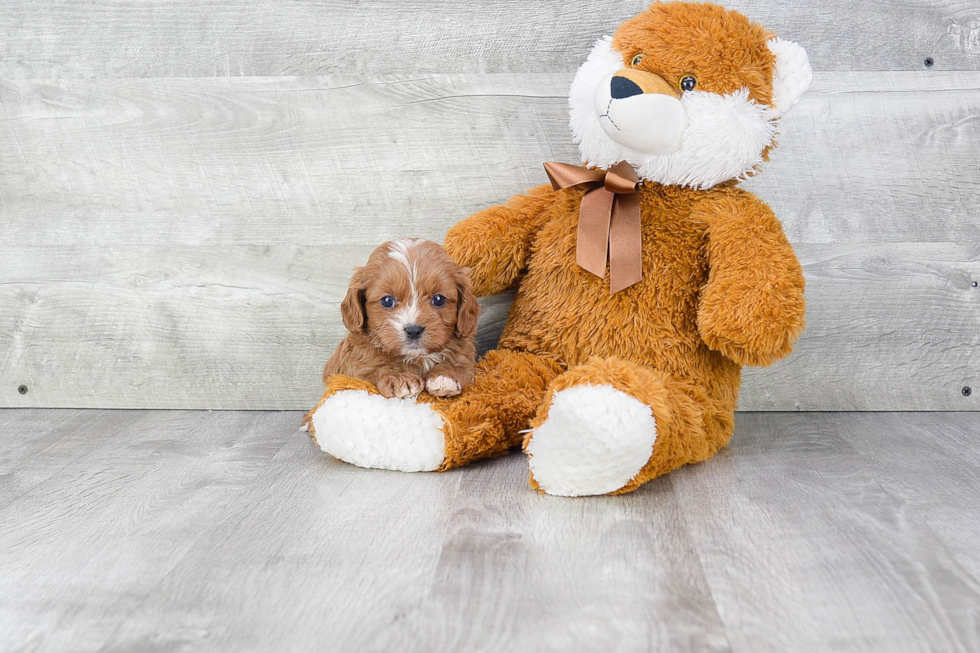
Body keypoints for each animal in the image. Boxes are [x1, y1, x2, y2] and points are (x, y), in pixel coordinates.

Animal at [322, 239, 478, 400]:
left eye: (439, 299)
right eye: (387, 301)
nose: (413, 330)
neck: (416, 357)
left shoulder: (466, 358)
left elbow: (461, 366)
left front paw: (446, 376)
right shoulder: (355, 367)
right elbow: (374, 369)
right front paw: (399, 378)